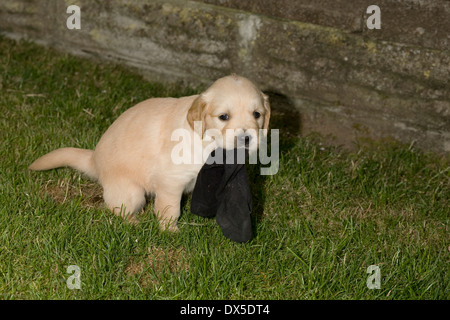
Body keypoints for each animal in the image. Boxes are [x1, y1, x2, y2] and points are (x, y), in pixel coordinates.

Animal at [31, 75, 270, 230]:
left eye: (257, 114)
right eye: (223, 117)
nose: (246, 138)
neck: (208, 142)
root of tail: (94, 159)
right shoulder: (171, 180)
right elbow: (170, 209)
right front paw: (170, 231)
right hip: (132, 193)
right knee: (117, 209)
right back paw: (134, 223)